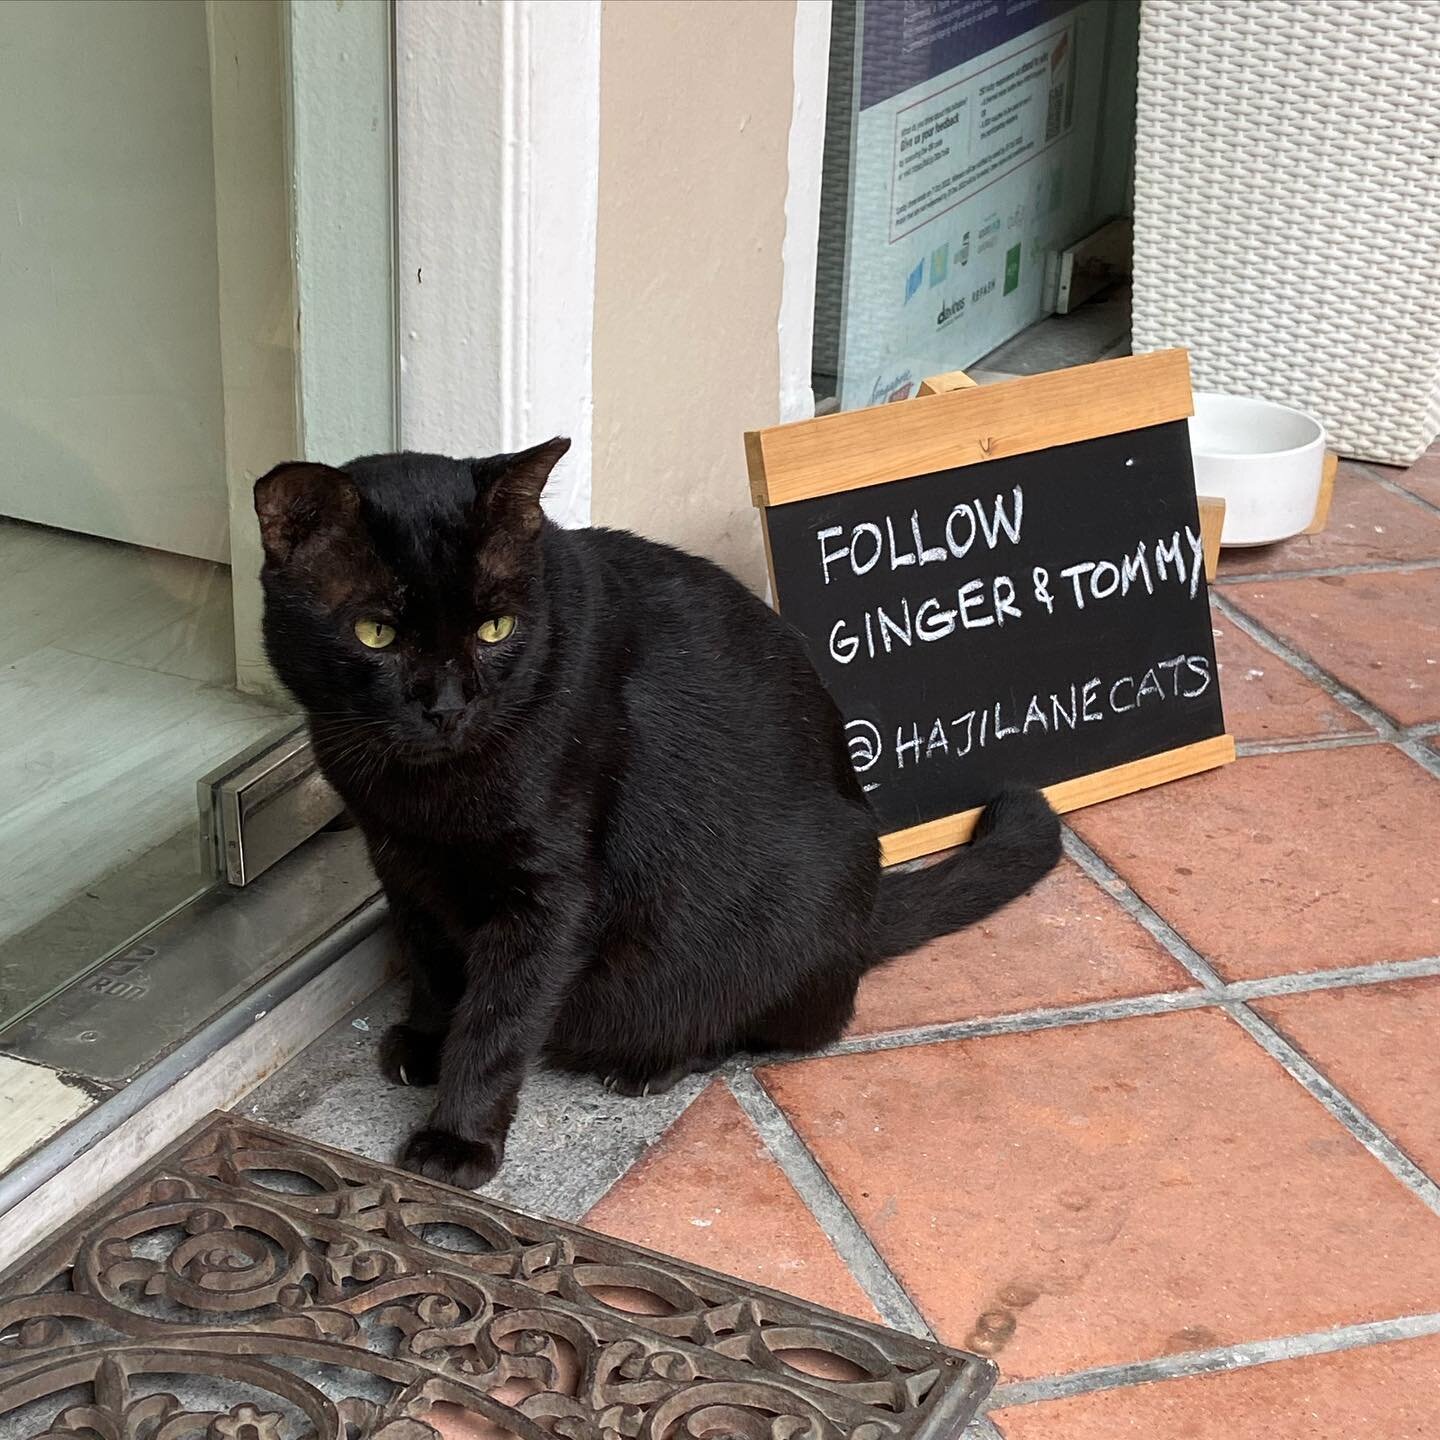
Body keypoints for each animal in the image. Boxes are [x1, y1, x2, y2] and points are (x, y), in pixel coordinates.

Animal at [253, 440, 1065, 1192]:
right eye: (376, 635)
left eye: (495, 629)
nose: (448, 706)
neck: (420, 795)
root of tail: (867, 913)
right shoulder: (402, 865)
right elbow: (431, 963)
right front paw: (427, 1042)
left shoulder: (550, 895)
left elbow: (498, 1022)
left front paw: (457, 1139)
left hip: (797, 911)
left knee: (772, 1029)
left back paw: (657, 1058)